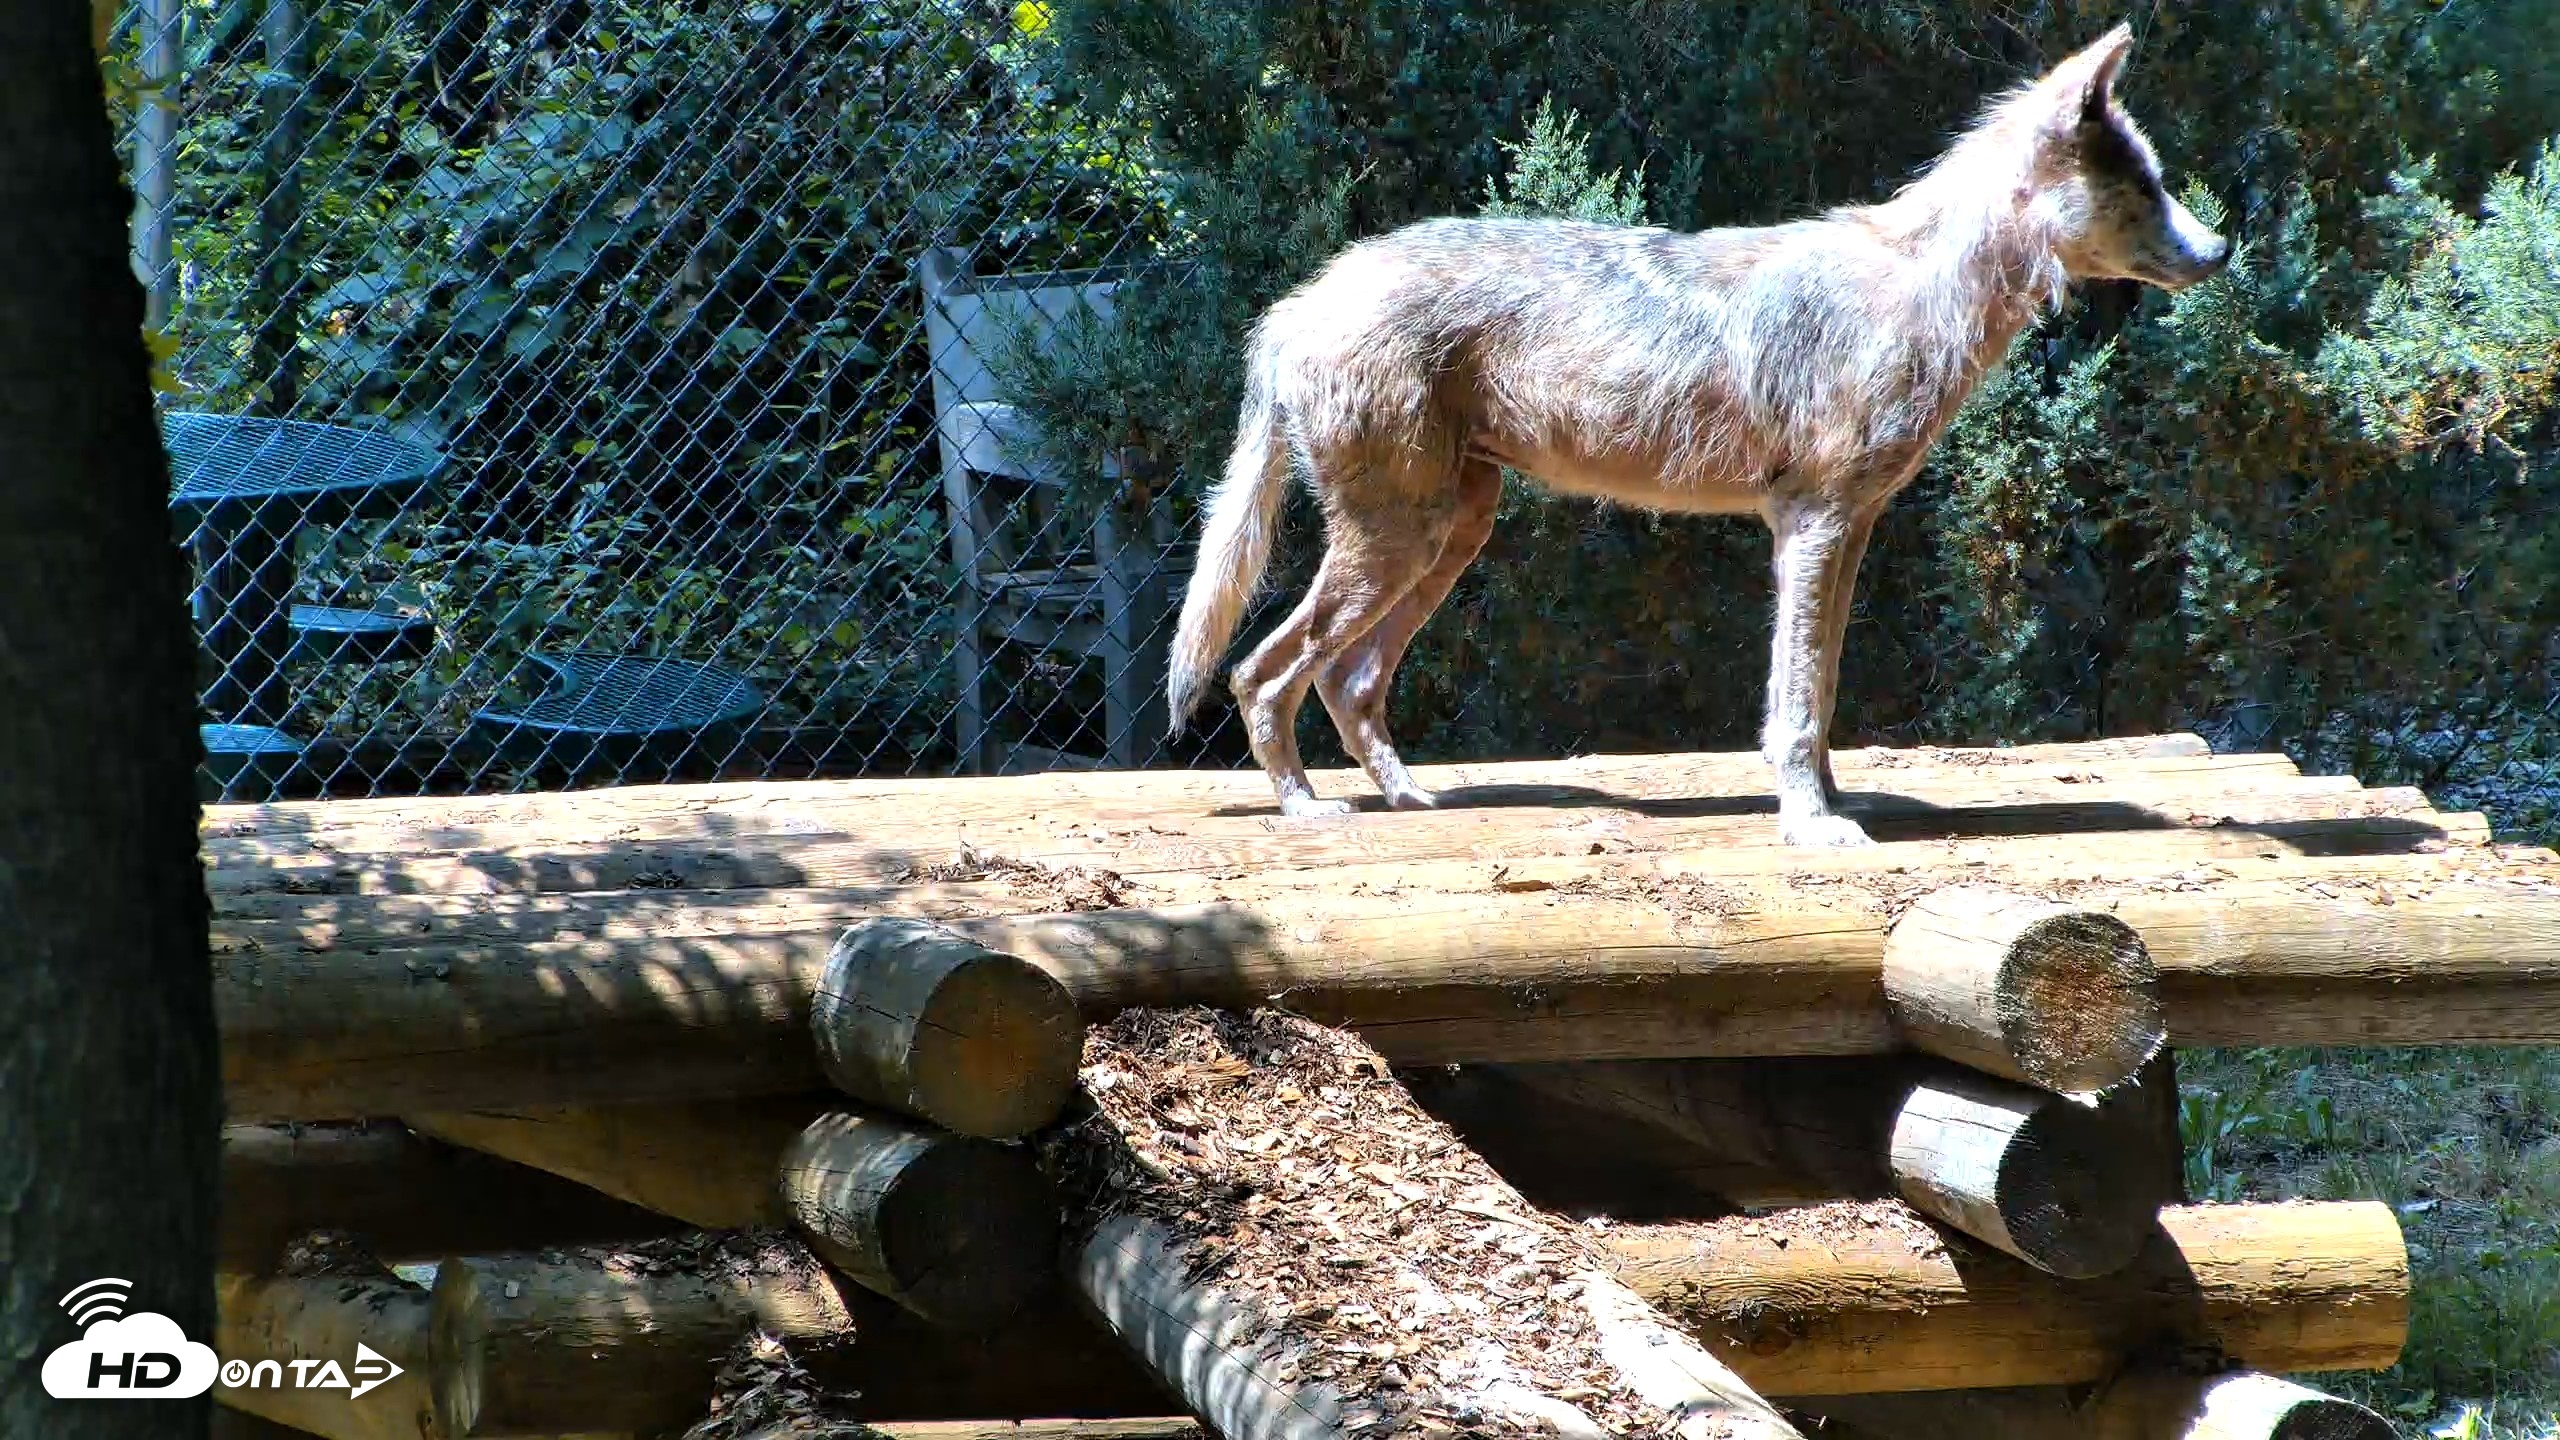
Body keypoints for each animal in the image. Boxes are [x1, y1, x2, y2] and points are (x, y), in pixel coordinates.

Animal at [1162, 23, 2229, 845]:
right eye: (2144, 187)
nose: (2221, 250)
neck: (1919, 294)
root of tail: (1296, 305)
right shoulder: (1814, 526)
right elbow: (1795, 706)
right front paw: (1813, 827)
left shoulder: (1842, 534)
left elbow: (1819, 695)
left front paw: (1824, 805)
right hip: (1400, 543)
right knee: (1261, 673)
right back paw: (1306, 811)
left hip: (1448, 538)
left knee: (1347, 681)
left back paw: (1408, 800)